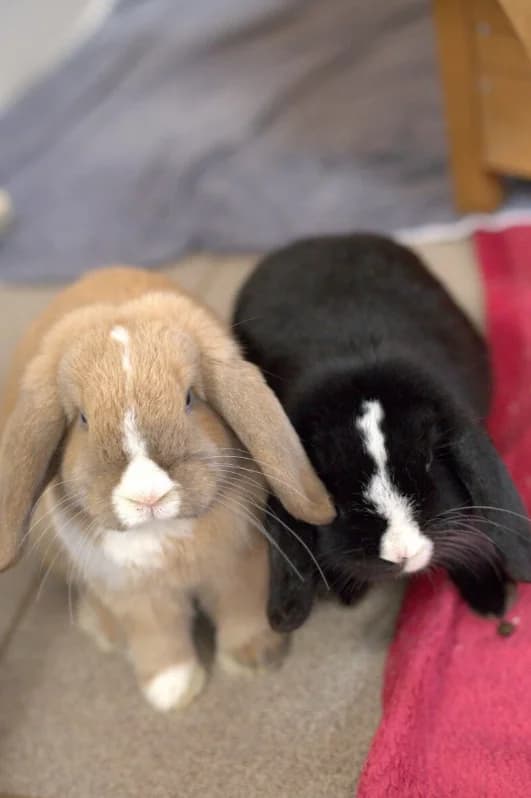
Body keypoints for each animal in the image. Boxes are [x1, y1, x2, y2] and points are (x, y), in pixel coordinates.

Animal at [0, 266, 334, 710]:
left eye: (190, 398)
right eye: (83, 419)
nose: (148, 496)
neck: (164, 533)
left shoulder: (240, 564)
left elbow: (241, 610)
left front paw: (255, 660)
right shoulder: (135, 595)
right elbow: (157, 639)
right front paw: (173, 693)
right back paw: (105, 631)